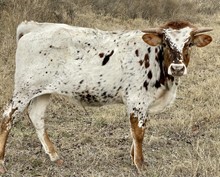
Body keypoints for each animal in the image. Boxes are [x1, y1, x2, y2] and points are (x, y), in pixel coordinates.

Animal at [0, 20, 213, 173]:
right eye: (166, 43)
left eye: (189, 44)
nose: (177, 68)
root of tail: (35, 26)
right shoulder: (137, 99)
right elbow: (138, 132)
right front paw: (140, 164)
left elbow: (135, 132)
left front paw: (133, 158)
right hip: (24, 89)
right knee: (7, 117)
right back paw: (2, 161)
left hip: (43, 91)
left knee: (37, 117)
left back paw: (55, 156)